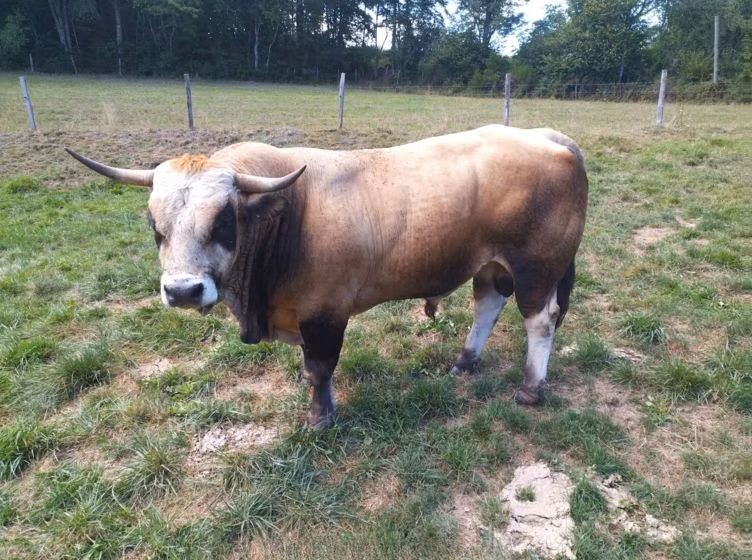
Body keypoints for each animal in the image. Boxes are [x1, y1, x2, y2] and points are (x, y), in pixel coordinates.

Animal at [67, 125, 588, 430]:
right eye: (154, 224)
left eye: (224, 221)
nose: (182, 290)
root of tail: (547, 135)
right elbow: (312, 370)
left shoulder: (324, 313)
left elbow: (319, 368)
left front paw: (319, 417)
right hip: (492, 265)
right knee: (487, 304)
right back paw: (464, 361)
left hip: (535, 268)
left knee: (540, 320)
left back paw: (531, 388)